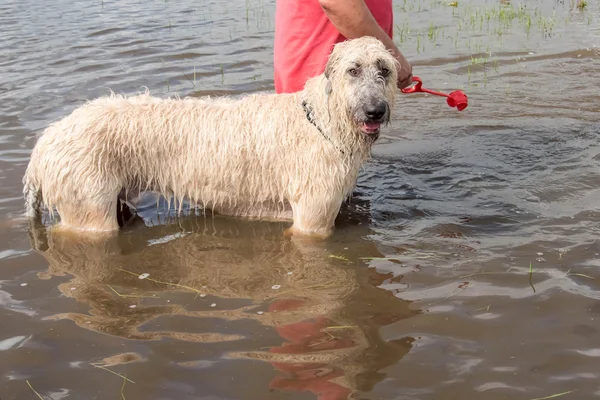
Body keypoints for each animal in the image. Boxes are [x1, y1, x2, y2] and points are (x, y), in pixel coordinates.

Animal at [23, 36, 400, 238]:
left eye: (384, 70)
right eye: (353, 70)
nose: (375, 111)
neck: (321, 121)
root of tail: (44, 145)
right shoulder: (312, 218)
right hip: (88, 204)